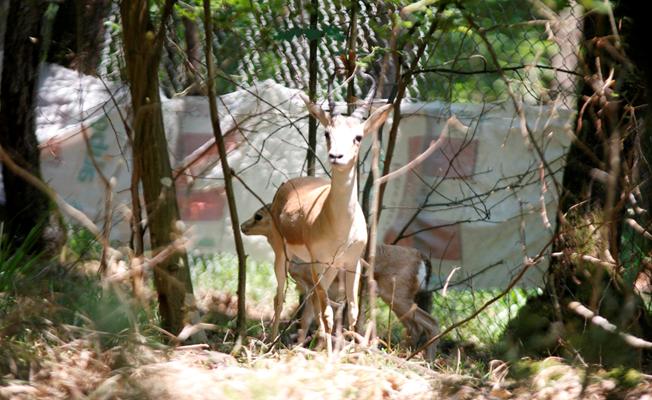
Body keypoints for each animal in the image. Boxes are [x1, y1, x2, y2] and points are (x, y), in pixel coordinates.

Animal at [239, 205, 438, 358]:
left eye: (258, 215)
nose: (242, 226)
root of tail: (422, 258)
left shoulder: (315, 288)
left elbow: (316, 320)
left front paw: (312, 349)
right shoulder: (309, 290)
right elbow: (306, 321)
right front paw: (300, 348)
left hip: (398, 297)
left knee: (431, 322)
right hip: (395, 300)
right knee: (415, 328)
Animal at [264, 78, 392, 346]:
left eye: (358, 136)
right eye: (327, 133)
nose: (336, 156)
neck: (341, 226)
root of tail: (291, 183)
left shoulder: (352, 262)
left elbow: (352, 309)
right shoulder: (318, 261)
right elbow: (327, 312)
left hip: (331, 268)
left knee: (312, 299)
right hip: (284, 255)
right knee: (280, 296)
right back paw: (272, 343)